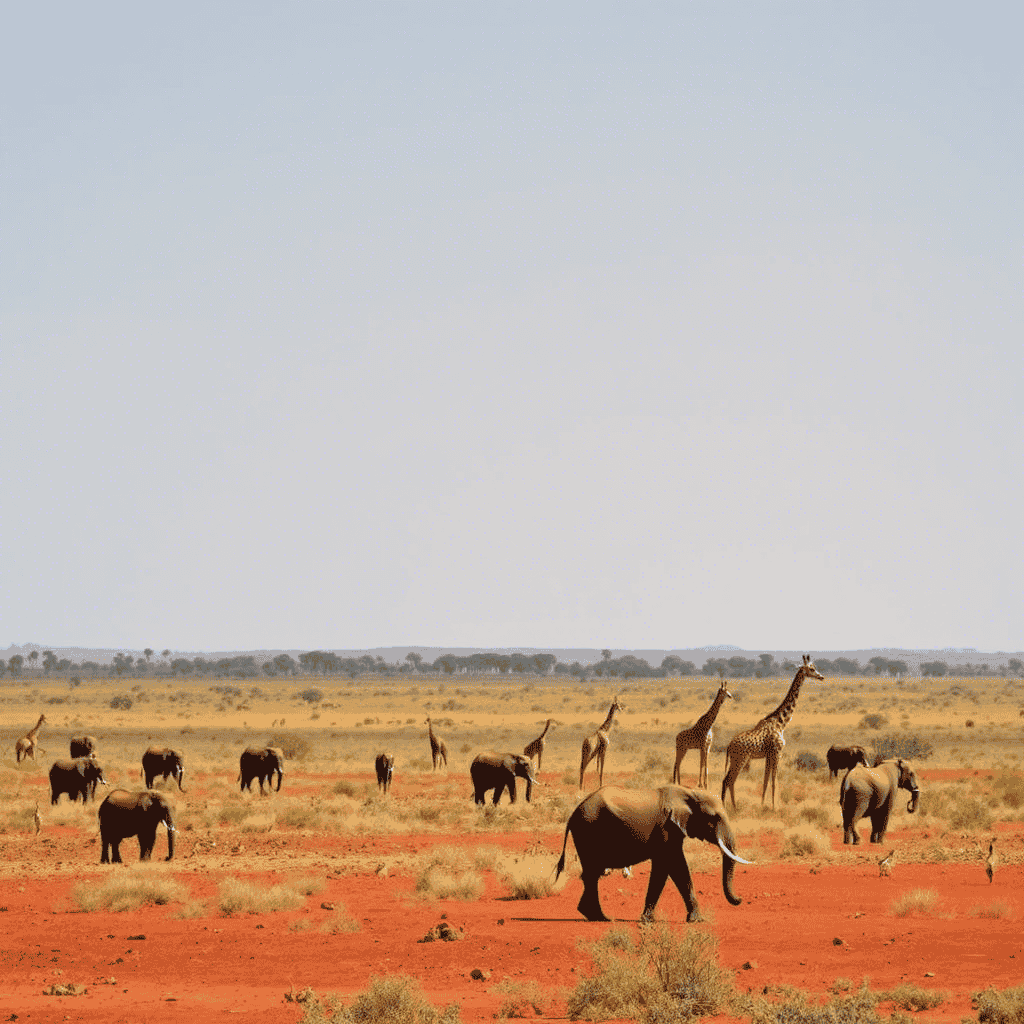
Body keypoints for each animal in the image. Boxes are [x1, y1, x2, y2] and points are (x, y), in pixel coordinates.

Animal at [557, 786, 749, 925]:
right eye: (713, 817)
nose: (740, 899)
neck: (690, 792)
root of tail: (573, 813)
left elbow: (670, 868)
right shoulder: (666, 830)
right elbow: (673, 867)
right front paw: (695, 921)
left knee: (591, 874)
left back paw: (593, 915)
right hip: (588, 832)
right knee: (591, 874)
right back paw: (602, 918)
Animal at [720, 651, 823, 811]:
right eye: (812, 669)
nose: (821, 677)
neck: (781, 722)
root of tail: (729, 747)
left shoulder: (768, 755)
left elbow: (765, 781)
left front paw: (763, 805)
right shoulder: (777, 753)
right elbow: (774, 781)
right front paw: (775, 807)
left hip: (735, 760)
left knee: (728, 781)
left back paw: (730, 806)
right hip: (740, 760)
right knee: (729, 781)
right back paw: (729, 807)